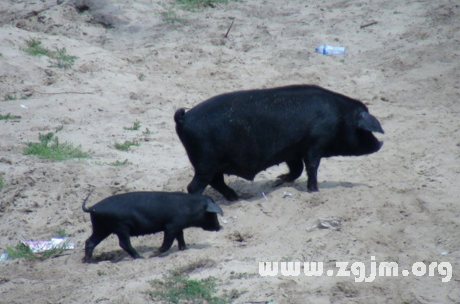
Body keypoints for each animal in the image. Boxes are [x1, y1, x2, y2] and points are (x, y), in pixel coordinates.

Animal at [82, 191, 224, 262]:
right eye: (212, 214)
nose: (219, 227)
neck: (191, 208)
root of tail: (92, 208)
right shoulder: (171, 226)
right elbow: (168, 242)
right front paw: (153, 254)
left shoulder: (178, 226)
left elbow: (180, 237)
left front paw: (184, 249)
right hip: (120, 226)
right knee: (123, 243)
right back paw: (140, 257)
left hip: (101, 228)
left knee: (89, 241)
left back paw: (87, 260)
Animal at [174, 84, 382, 201]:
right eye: (364, 130)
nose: (380, 144)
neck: (340, 117)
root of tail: (183, 118)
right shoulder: (315, 143)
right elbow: (312, 166)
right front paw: (313, 191)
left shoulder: (292, 150)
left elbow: (297, 168)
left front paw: (278, 180)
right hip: (205, 162)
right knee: (194, 187)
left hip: (211, 165)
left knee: (216, 181)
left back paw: (235, 198)